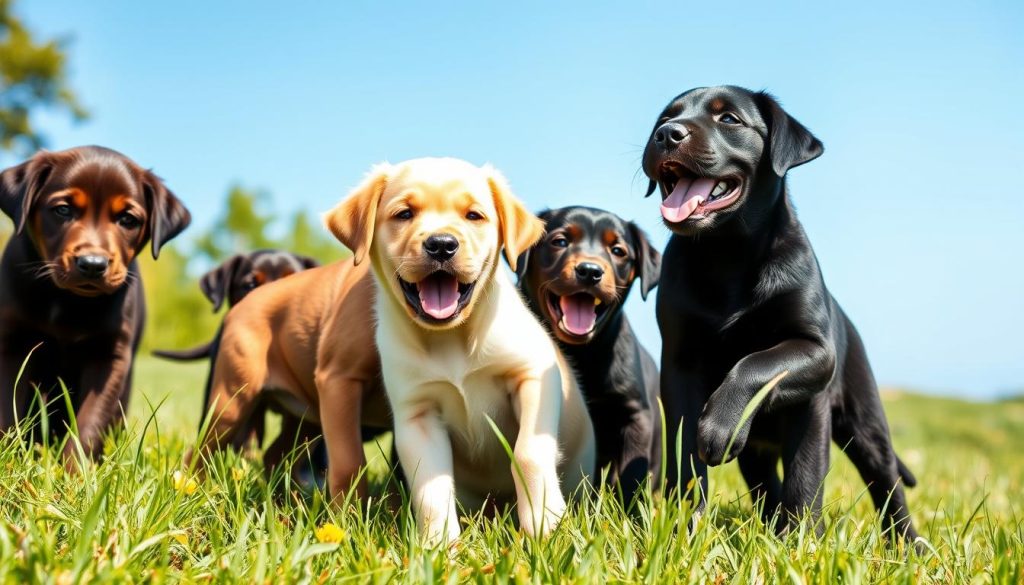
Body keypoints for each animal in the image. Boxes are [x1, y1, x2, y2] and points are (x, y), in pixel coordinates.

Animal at [0, 144, 190, 465]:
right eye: (63, 210)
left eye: (128, 219)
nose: (92, 263)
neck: (67, 300)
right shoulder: (12, 343)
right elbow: (7, 411)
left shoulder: (110, 358)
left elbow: (89, 424)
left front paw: (75, 472)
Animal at [327, 158, 598, 545]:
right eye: (404, 213)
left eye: (474, 215)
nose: (441, 244)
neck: (451, 338)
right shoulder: (418, 414)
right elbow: (431, 488)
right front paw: (439, 547)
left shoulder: (532, 376)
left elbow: (528, 453)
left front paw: (546, 526)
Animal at [520, 206, 663, 508]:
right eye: (560, 241)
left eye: (618, 251)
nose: (590, 271)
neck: (582, 353)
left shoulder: (636, 415)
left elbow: (632, 473)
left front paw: (630, 514)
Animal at [638, 86, 921, 540]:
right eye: (665, 117)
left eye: (729, 119)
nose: (667, 133)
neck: (726, 253)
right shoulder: (680, 364)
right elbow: (687, 461)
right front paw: (685, 528)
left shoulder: (815, 353)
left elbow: (758, 367)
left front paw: (804, 542)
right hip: (758, 452)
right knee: (765, 485)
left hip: (865, 421)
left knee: (887, 485)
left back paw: (909, 546)